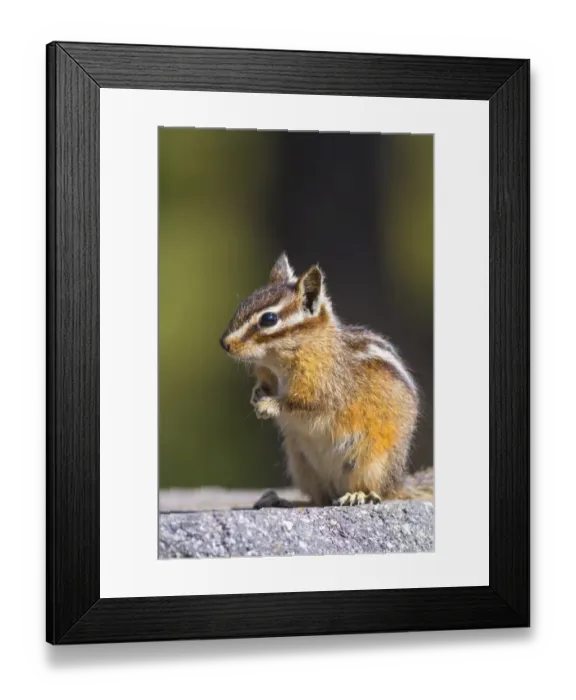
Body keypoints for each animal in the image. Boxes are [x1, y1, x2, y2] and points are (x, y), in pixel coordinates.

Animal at [220, 253, 431, 508]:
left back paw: (358, 495)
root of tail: (398, 483)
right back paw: (281, 500)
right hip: (302, 465)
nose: (224, 343)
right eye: (243, 304)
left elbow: (302, 402)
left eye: (268, 319)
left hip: (370, 462)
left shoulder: (323, 387)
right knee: (318, 499)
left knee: (378, 492)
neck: (277, 361)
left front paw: (268, 405)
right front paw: (257, 394)